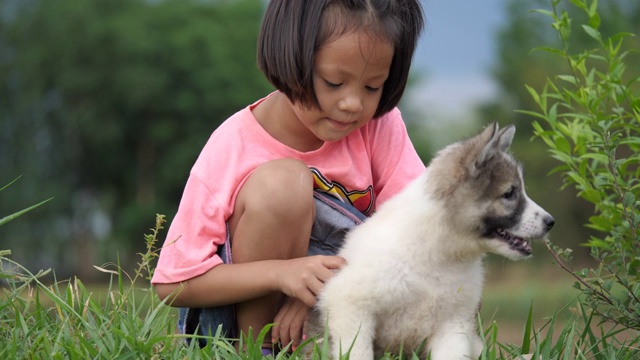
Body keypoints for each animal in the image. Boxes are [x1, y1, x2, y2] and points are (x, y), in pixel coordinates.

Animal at [306, 122, 556, 358]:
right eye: (509, 194)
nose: (550, 222)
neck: (440, 255)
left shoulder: (453, 324)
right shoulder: (349, 304)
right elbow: (358, 351)